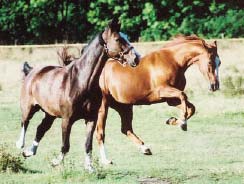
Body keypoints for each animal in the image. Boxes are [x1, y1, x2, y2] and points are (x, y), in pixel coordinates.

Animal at [15, 17, 139, 171]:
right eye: (117, 39)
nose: (136, 58)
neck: (81, 82)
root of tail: (32, 71)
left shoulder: (91, 119)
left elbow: (88, 144)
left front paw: (89, 168)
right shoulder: (67, 120)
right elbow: (65, 145)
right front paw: (56, 162)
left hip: (50, 114)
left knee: (41, 129)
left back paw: (29, 152)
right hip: (29, 107)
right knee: (25, 122)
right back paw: (20, 144)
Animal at [96, 34, 222, 164]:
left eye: (219, 63)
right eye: (210, 62)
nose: (215, 86)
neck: (173, 60)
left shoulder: (171, 100)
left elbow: (191, 107)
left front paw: (173, 121)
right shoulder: (163, 91)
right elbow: (183, 96)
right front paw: (182, 123)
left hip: (124, 107)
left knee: (126, 129)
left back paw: (145, 149)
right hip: (103, 107)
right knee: (100, 133)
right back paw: (105, 161)